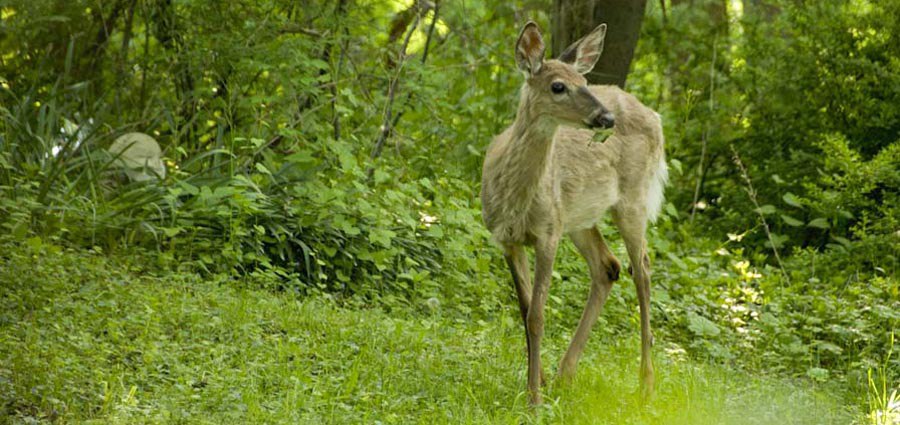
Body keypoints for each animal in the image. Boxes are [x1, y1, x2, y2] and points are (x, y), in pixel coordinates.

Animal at [478, 22, 668, 404]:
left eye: (584, 81)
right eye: (558, 86)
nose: (605, 117)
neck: (516, 198)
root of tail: (656, 117)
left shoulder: (548, 233)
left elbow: (537, 315)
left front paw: (533, 397)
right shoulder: (507, 239)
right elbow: (524, 310)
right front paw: (537, 381)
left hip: (633, 198)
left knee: (641, 269)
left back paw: (646, 383)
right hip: (579, 218)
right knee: (608, 266)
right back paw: (564, 374)